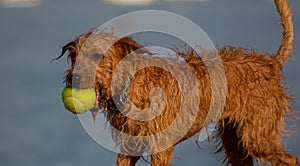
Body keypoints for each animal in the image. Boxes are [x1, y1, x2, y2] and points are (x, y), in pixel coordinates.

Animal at [55, 0, 298, 165]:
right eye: (74, 56)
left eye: (97, 55)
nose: (74, 78)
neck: (132, 86)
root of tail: (269, 63)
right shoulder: (130, 146)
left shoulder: (160, 147)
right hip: (234, 139)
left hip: (257, 137)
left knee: (290, 160)